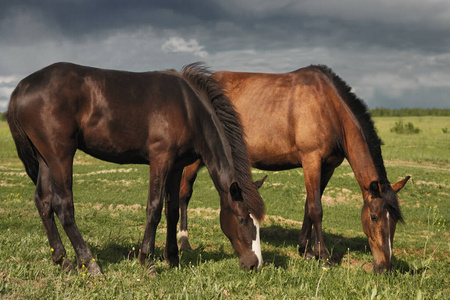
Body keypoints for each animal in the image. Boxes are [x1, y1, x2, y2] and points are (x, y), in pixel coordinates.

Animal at [6, 62, 268, 276]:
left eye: (258, 223)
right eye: (242, 219)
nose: (255, 264)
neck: (188, 108)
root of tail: (21, 88)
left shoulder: (176, 166)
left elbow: (172, 211)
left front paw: (173, 259)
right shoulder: (160, 159)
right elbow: (154, 208)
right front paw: (147, 262)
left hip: (45, 159)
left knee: (43, 203)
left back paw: (64, 262)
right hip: (60, 156)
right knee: (63, 206)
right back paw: (90, 264)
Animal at [178, 65, 410, 274]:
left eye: (394, 221)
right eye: (374, 217)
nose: (385, 268)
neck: (328, 106)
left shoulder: (327, 167)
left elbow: (309, 206)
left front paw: (306, 251)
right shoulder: (311, 160)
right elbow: (316, 209)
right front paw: (324, 258)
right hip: (194, 160)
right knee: (184, 193)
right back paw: (184, 242)